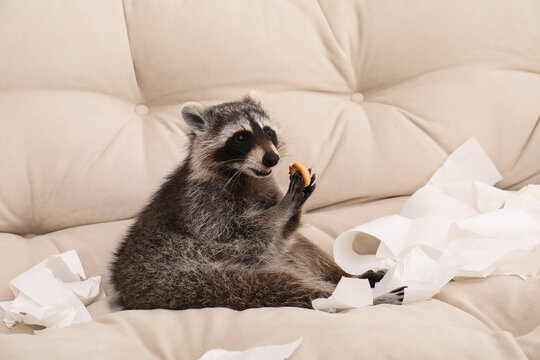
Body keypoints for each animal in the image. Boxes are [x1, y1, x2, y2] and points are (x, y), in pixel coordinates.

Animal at [110, 92, 404, 310]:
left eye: (268, 131)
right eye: (240, 137)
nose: (272, 159)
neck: (243, 174)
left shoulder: (264, 190)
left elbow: (284, 235)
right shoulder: (202, 209)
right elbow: (246, 237)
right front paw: (285, 206)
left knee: (305, 249)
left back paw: (351, 277)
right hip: (194, 279)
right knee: (281, 286)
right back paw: (359, 299)